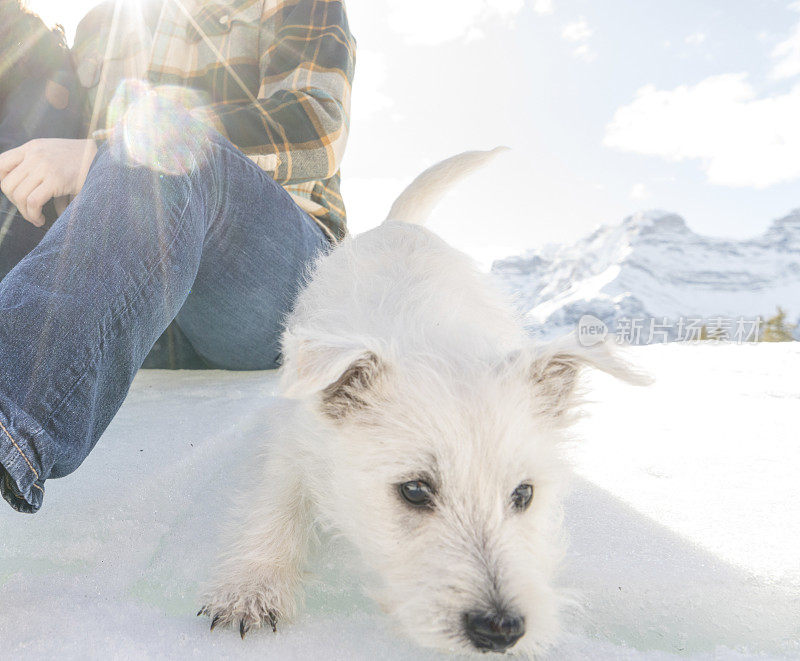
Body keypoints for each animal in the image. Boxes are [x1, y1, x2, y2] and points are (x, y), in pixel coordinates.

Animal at [200, 148, 648, 656]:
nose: (501, 630)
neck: (432, 337)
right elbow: (275, 502)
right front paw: (250, 588)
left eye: (524, 494)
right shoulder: (296, 438)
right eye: (414, 490)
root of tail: (402, 222)